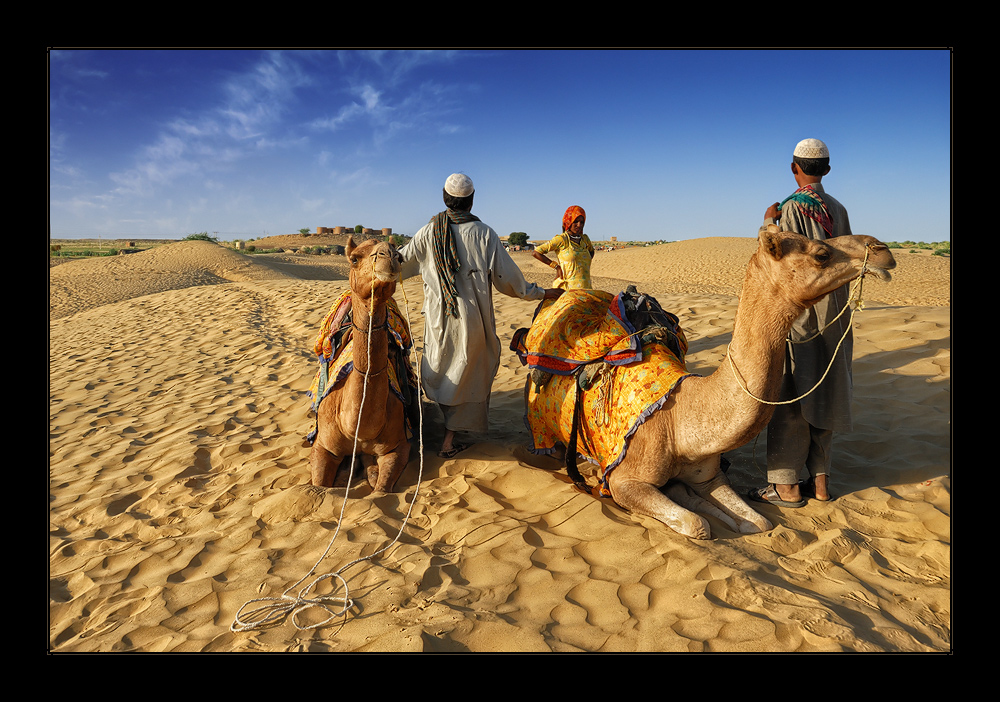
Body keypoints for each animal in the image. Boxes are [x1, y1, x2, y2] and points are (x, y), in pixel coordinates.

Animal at [308, 239, 410, 492]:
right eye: (354, 258)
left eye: (401, 257)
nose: (389, 255)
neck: (357, 430)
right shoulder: (322, 447)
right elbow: (318, 487)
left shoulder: (399, 446)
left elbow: (381, 490)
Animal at [524, 226, 900, 540]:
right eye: (821, 253)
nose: (882, 250)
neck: (679, 424)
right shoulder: (624, 481)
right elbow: (697, 525)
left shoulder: (709, 474)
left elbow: (757, 521)